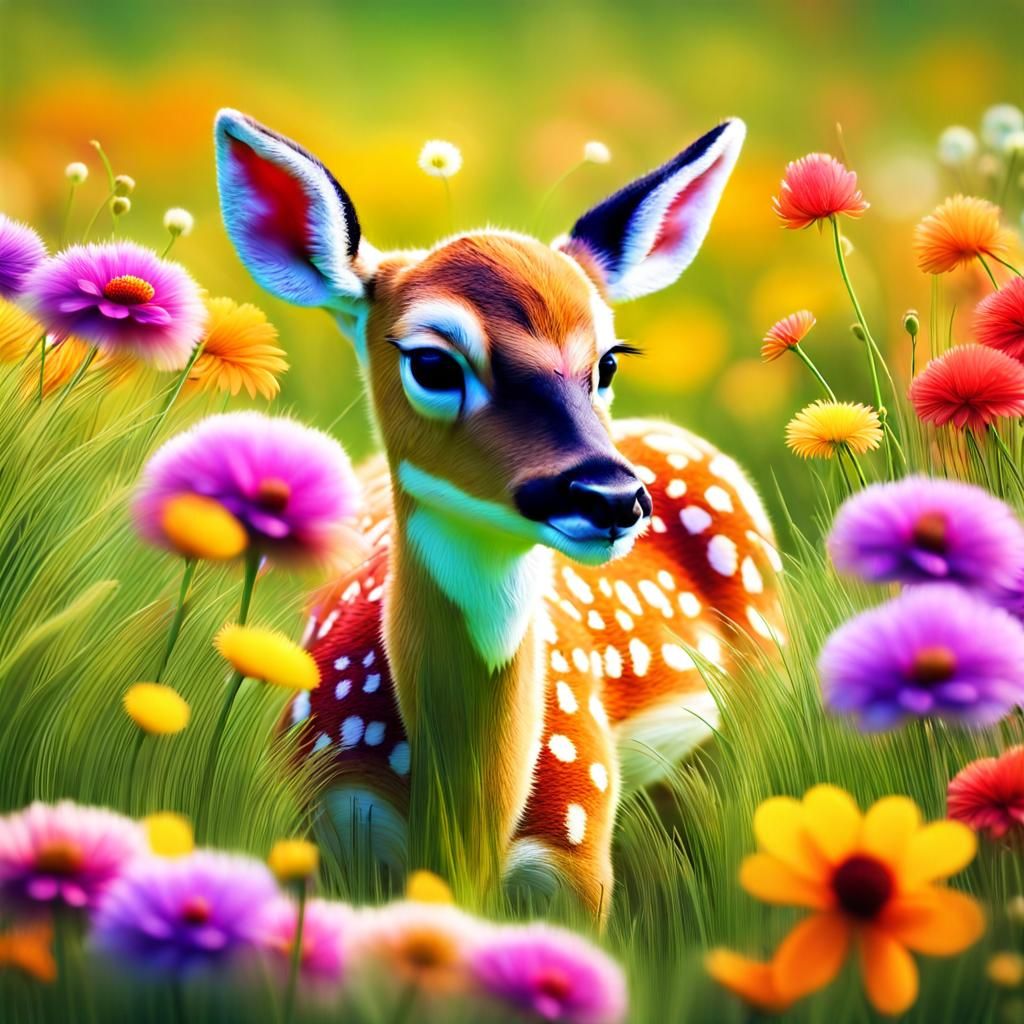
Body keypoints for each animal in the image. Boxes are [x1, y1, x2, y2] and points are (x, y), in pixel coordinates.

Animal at [214, 109, 784, 917]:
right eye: (432, 362)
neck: (463, 834)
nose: (610, 495)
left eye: (608, 360)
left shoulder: (578, 845)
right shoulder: (317, 817)